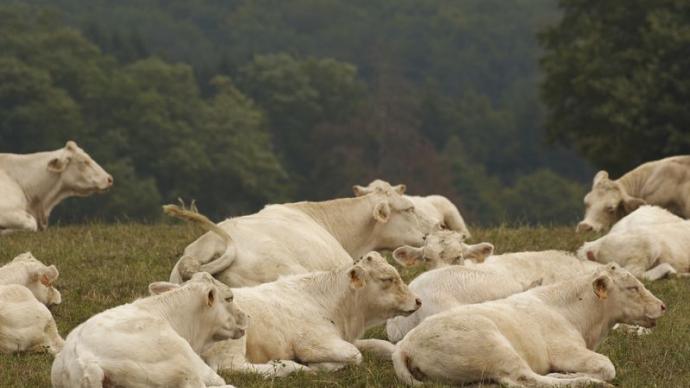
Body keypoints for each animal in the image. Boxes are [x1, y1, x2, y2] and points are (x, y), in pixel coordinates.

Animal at [155, 252, 420, 376]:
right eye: (388, 279)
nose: (417, 301)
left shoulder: (346, 337)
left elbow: (383, 346)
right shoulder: (313, 343)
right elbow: (355, 356)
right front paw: (320, 366)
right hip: (232, 338)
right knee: (233, 367)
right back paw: (288, 366)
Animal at [392, 266, 668, 386]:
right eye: (633, 287)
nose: (662, 306)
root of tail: (405, 345)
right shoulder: (566, 350)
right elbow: (607, 366)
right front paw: (574, 374)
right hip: (495, 346)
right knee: (524, 379)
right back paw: (580, 381)